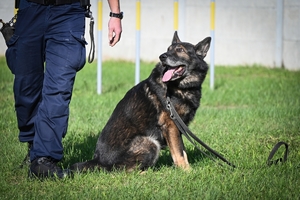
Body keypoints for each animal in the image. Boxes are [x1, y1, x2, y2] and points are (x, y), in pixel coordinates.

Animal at [71, 31, 210, 172]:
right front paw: (187, 171)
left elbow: (182, 151)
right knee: (126, 170)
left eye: (180, 50)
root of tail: (98, 160)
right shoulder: (171, 125)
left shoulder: (178, 128)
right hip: (150, 142)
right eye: (168, 49)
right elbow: (179, 152)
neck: (176, 86)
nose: (162, 57)